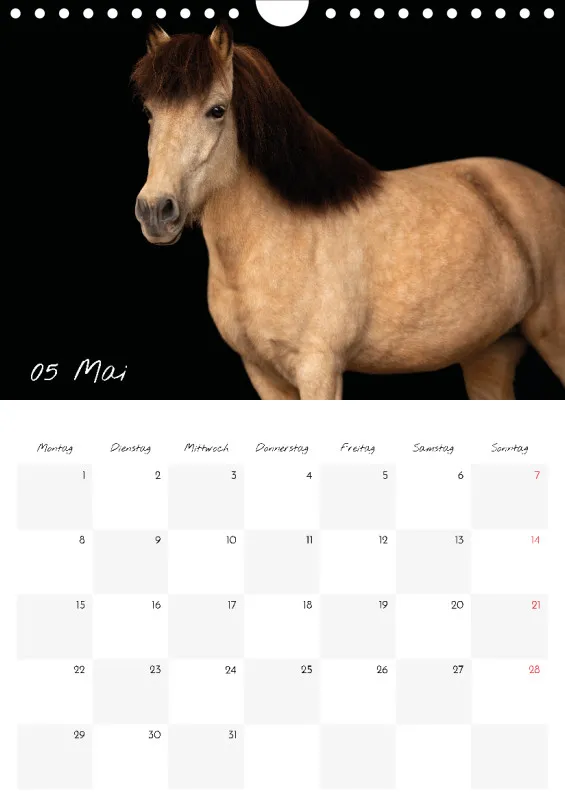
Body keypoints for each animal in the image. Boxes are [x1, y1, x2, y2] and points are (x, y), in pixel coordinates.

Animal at [133, 24, 565, 400]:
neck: (279, 238)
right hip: (490, 353)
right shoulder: (262, 373)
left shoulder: (319, 370)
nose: (155, 210)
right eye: (150, 114)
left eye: (217, 110)